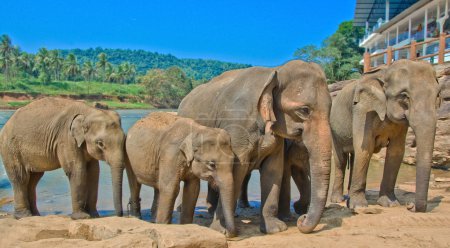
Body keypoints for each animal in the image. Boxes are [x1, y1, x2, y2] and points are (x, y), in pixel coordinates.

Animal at [178, 60, 332, 234]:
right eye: (304, 110)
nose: (302, 218)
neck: (275, 71)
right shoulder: (236, 125)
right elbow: (236, 171)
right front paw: (222, 230)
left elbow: (273, 169)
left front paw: (274, 229)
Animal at [328, 59, 442, 211]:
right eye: (404, 96)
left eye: (437, 95)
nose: (410, 206)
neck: (385, 71)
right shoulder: (362, 110)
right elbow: (365, 148)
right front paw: (359, 207)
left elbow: (396, 151)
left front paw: (390, 204)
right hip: (334, 130)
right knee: (340, 159)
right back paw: (338, 199)